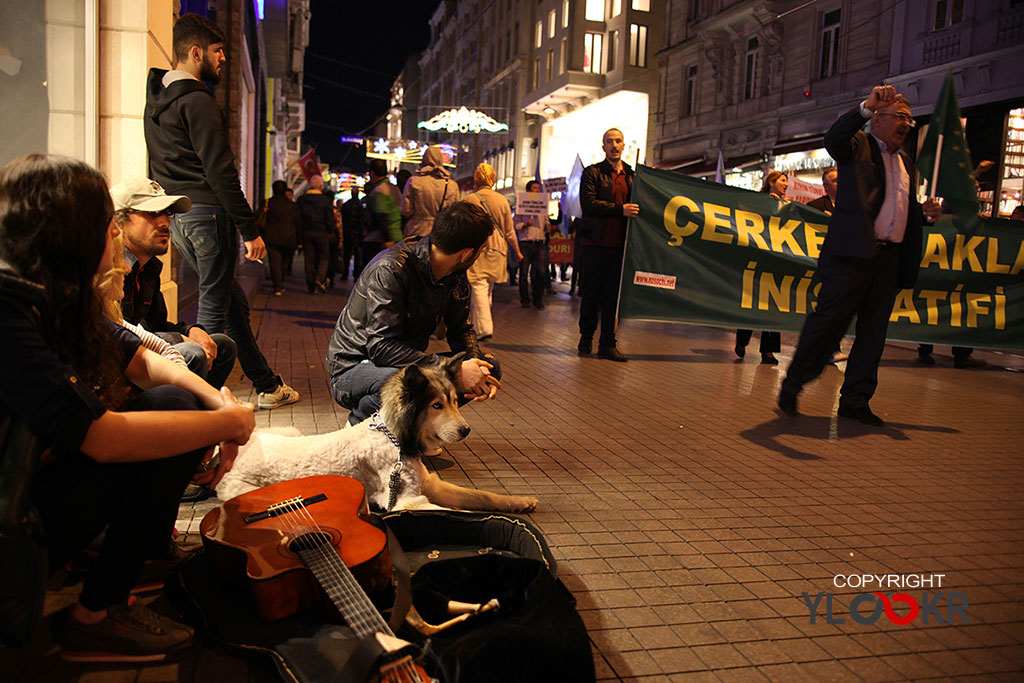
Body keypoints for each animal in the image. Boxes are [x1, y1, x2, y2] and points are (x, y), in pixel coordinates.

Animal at [214, 356, 536, 516]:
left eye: (456, 401)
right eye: (436, 405)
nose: (465, 430)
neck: (395, 439)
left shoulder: (431, 484)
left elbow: (482, 495)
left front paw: (520, 500)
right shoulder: (409, 501)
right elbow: (462, 512)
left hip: (290, 430)